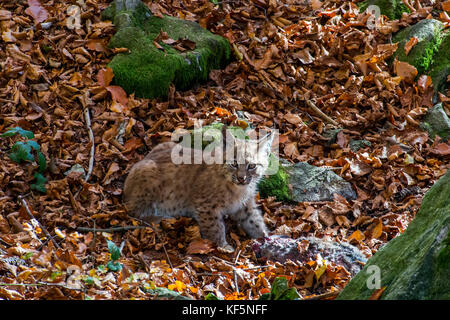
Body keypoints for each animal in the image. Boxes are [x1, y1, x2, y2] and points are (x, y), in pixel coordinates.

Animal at [121, 126, 272, 251]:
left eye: (252, 166)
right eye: (234, 164)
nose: (241, 178)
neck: (238, 188)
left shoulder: (245, 205)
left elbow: (255, 221)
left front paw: (266, 237)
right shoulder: (206, 206)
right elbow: (215, 227)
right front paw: (223, 247)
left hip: (167, 145)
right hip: (149, 171)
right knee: (133, 211)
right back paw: (162, 217)